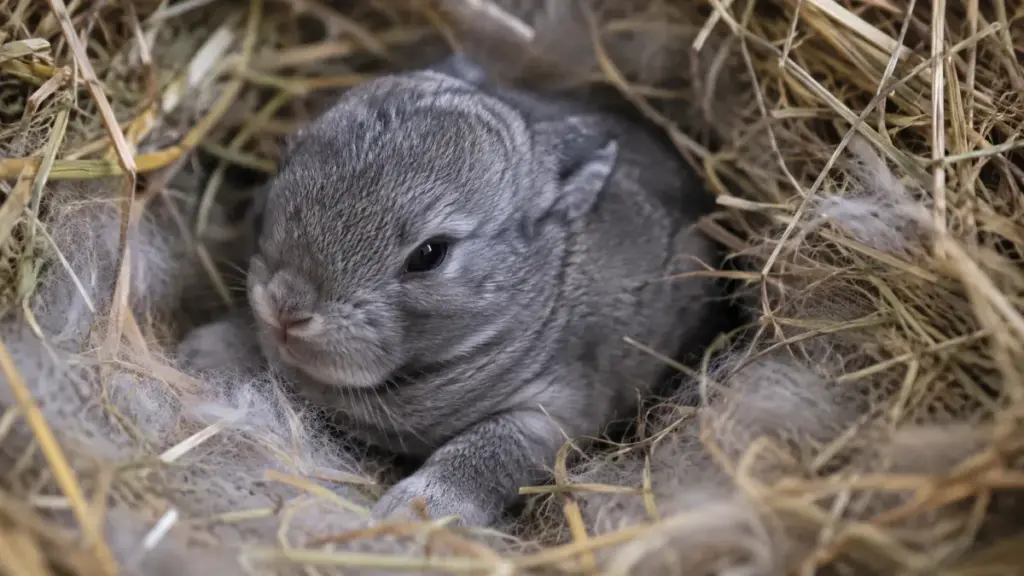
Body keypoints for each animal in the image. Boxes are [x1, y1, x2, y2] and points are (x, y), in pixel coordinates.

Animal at [178, 52, 723, 527]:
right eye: (287, 165)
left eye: (430, 254)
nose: (287, 307)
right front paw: (203, 352)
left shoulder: (550, 409)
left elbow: (486, 452)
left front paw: (415, 512)